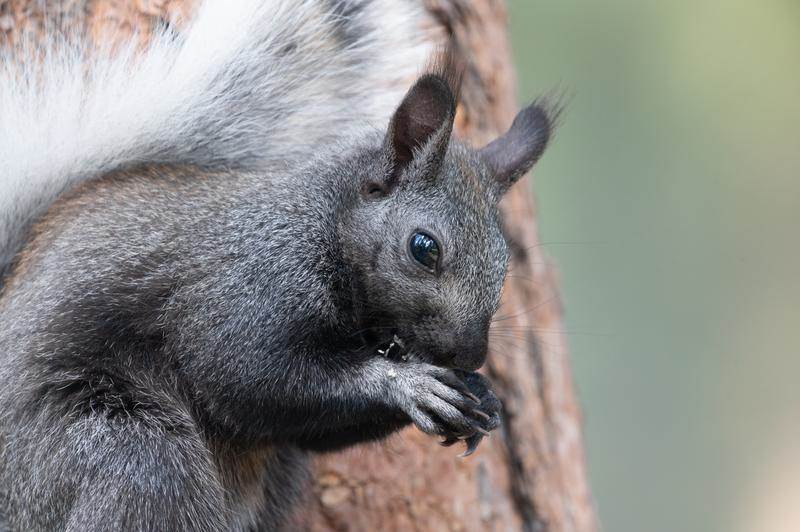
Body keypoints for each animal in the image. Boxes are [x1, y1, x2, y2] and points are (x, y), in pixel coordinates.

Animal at [0, 0, 556, 530]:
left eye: (505, 262)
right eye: (424, 248)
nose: (471, 354)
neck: (322, 226)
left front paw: (481, 396)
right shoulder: (247, 289)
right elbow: (246, 377)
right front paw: (408, 384)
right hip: (126, 452)